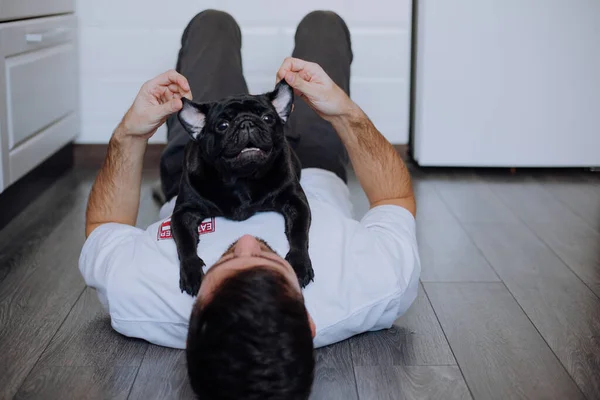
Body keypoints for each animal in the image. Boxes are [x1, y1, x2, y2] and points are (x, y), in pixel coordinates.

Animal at [172, 79, 314, 296]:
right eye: (222, 125)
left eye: (267, 117)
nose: (246, 122)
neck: (242, 178)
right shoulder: (183, 212)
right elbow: (185, 243)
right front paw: (192, 271)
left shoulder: (295, 202)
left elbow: (299, 234)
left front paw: (299, 264)